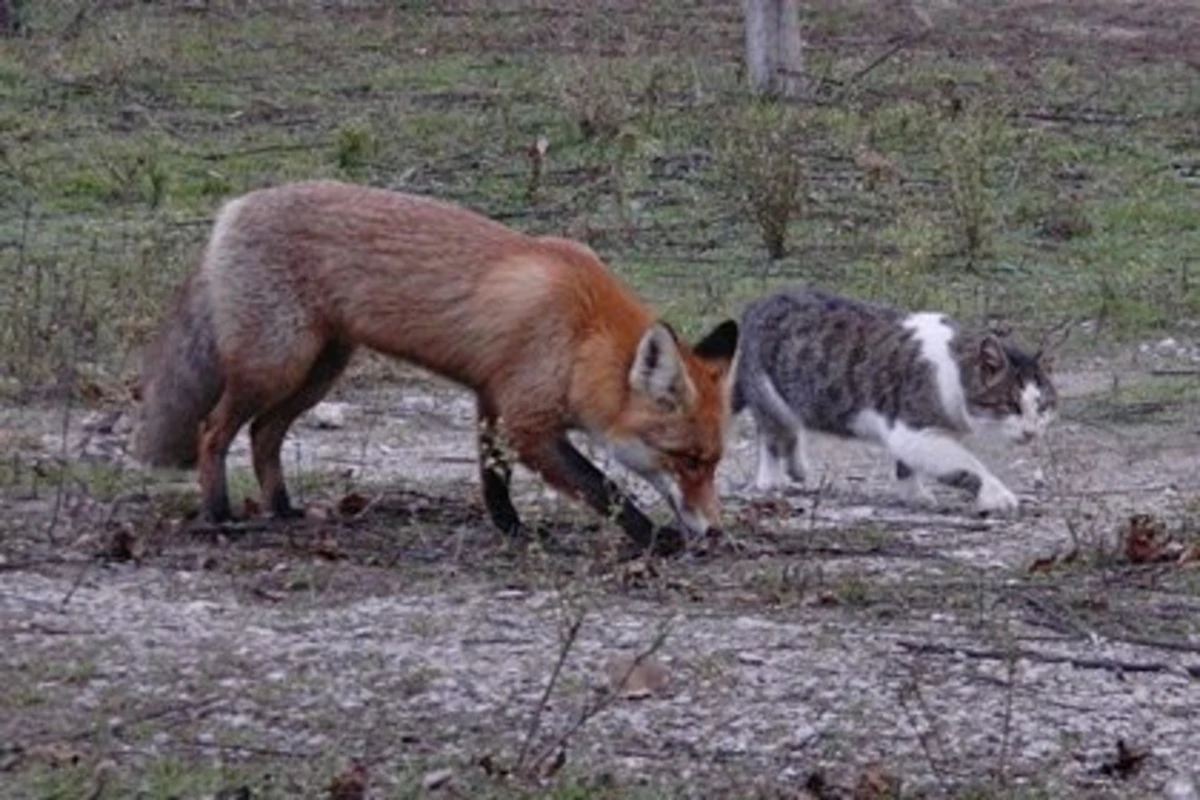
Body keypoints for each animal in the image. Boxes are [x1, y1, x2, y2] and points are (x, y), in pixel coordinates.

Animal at [140, 181, 739, 551]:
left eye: (713, 463)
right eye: (688, 460)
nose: (713, 530)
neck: (581, 333)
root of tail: (233, 208)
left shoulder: (491, 397)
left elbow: (493, 478)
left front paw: (511, 529)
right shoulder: (526, 419)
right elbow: (603, 487)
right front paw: (653, 538)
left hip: (318, 370)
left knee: (264, 434)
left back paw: (283, 509)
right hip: (274, 367)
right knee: (213, 431)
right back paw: (219, 516)